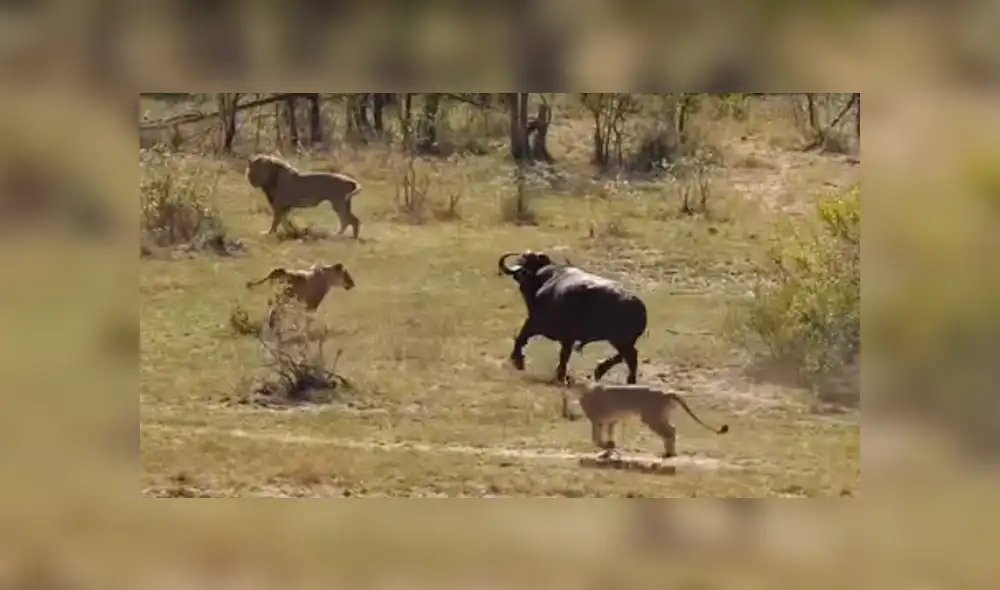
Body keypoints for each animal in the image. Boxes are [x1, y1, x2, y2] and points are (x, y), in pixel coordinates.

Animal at [563, 376, 729, 460]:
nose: (562, 386)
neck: (584, 388)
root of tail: (667, 391)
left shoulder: (597, 421)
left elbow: (596, 439)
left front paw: (607, 448)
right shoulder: (611, 421)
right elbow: (610, 437)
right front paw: (608, 451)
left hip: (651, 418)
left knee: (670, 432)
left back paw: (669, 454)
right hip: (659, 417)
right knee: (672, 429)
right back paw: (669, 452)